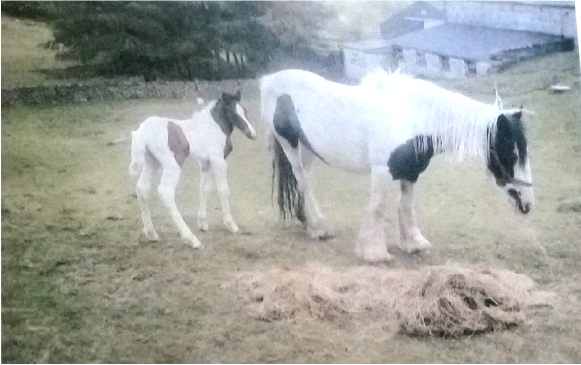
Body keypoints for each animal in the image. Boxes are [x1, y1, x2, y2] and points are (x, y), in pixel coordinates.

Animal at [129, 90, 256, 247]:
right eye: (232, 111)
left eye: (245, 111)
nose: (251, 133)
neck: (213, 127)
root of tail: (143, 131)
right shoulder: (218, 161)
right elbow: (223, 190)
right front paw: (231, 225)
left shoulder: (206, 163)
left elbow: (205, 189)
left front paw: (203, 223)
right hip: (173, 165)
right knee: (165, 192)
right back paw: (191, 238)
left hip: (152, 162)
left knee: (142, 188)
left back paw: (151, 233)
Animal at [260, 69, 532, 262]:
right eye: (513, 153)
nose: (527, 204)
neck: (412, 118)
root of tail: (268, 80)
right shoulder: (382, 171)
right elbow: (378, 208)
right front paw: (373, 252)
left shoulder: (411, 172)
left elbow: (406, 206)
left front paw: (413, 243)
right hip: (290, 145)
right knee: (303, 181)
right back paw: (319, 228)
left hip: (309, 150)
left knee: (303, 180)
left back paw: (307, 221)